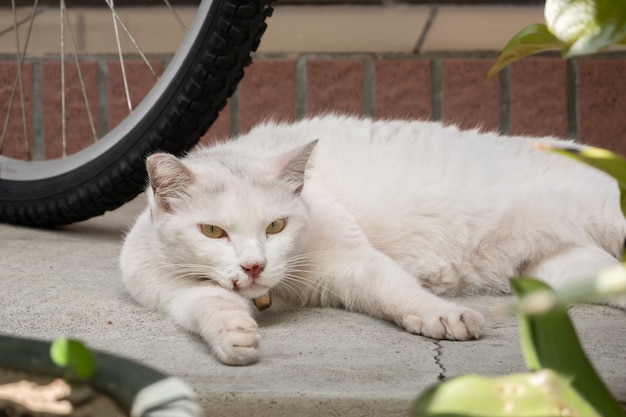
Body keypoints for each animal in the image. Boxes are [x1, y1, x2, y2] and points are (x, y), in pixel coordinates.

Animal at [120, 114, 624, 364]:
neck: (274, 299)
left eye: (276, 226)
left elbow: (399, 291)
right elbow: (206, 303)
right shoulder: (171, 291)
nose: (254, 265)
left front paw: (443, 317)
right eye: (213, 231)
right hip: (562, 269)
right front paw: (233, 334)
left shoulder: (356, 261)